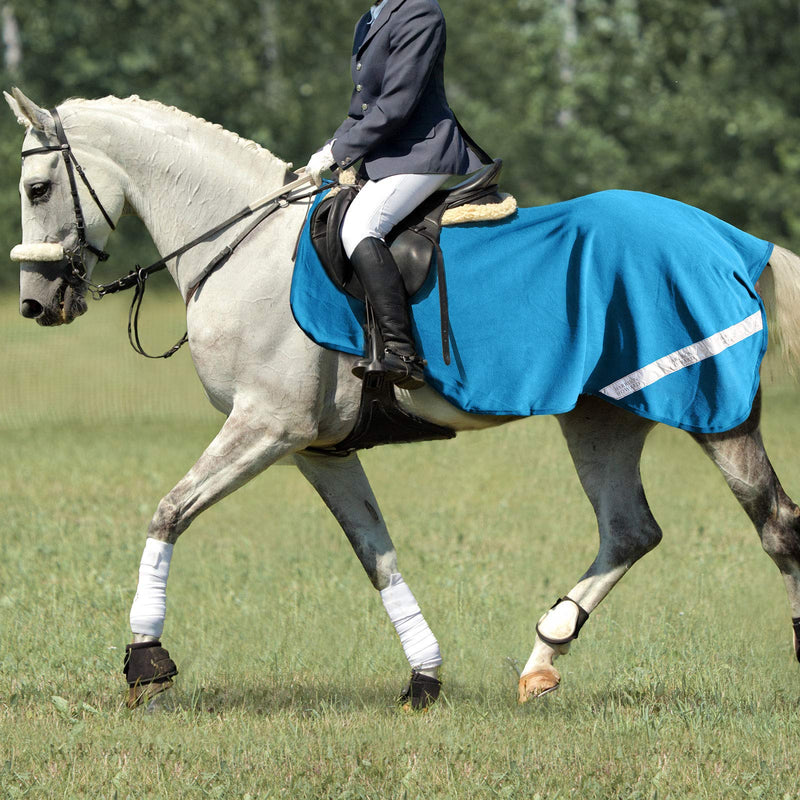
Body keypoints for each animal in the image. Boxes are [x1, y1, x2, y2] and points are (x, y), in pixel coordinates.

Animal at [7, 87, 800, 709]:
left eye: (36, 189)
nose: (36, 304)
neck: (244, 247)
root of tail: (723, 238)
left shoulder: (266, 427)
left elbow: (170, 511)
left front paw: (146, 662)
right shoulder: (317, 449)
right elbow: (377, 556)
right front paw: (425, 679)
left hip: (715, 413)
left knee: (776, 528)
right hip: (600, 416)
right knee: (629, 531)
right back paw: (542, 657)